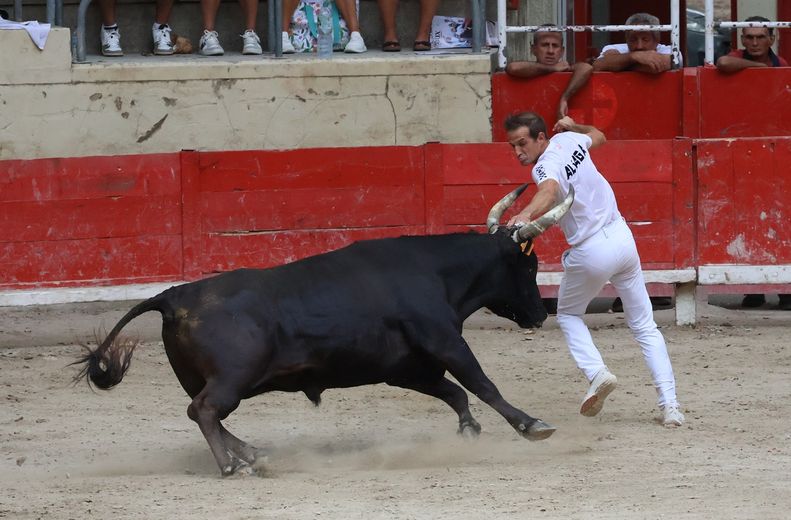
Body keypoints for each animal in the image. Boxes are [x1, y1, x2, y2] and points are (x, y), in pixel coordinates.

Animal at [76, 185, 576, 478]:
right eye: (529, 265)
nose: (539, 314)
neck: (436, 273)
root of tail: (175, 295)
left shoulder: (406, 368)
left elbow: (454, 392)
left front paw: (469, 430)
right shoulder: (445, 342)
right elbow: (482, 383)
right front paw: (532, 425)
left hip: (207, 379)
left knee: (201, 412)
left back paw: (255, 455)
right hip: (235, 377)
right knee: (205, 410)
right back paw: (235, 467)